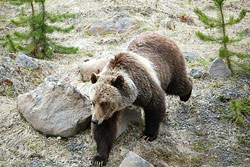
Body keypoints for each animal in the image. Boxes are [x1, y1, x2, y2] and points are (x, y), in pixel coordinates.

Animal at [89, 33, 192, 167]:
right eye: (93, 102)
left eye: (104, 103)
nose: (94, 120)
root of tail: (162, 35)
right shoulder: (110, 112)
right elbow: (104, 129)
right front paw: (99, 158)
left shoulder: (145, 86)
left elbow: (155, 107)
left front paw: (148, 135)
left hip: (170, 65)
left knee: (179, 85)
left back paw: (186, 94)